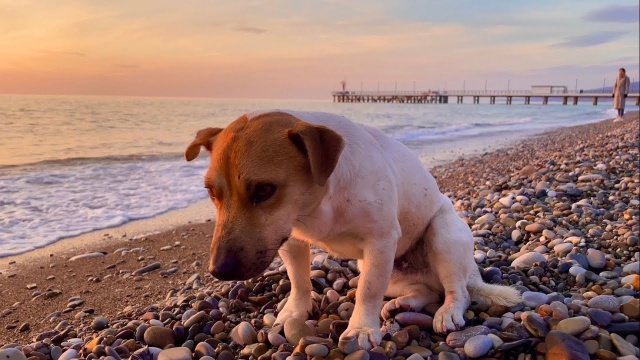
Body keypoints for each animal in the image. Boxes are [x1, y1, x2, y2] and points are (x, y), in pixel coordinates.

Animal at [182, 110, 524, 352]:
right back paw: (405, 303)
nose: (219, 270)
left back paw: (449, 312)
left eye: (264, 190)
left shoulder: (380, 242)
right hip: (389, 272)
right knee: (427, 290)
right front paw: (295, 311)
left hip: (442, 236)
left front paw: (361, 329)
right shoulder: (289, 239)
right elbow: (299, 281)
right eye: (211, 192)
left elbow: (367, 291)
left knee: (458, 291)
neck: (318, 199)